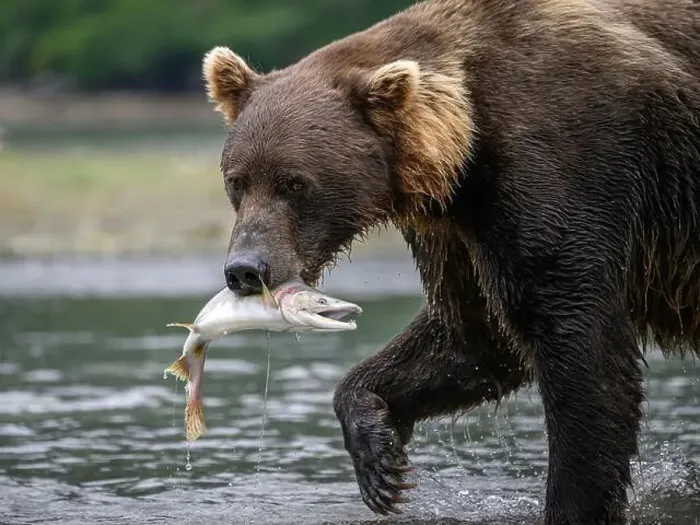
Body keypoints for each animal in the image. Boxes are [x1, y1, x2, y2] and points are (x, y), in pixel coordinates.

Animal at [200, 0, 700, 523]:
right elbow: (474, 336)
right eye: (237, 180)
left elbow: (579, 345)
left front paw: (574, 500)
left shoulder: (570, 164)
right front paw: (381, 462)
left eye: (295, 183)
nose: (245, 269)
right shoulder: (457, 230)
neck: (465, 144)